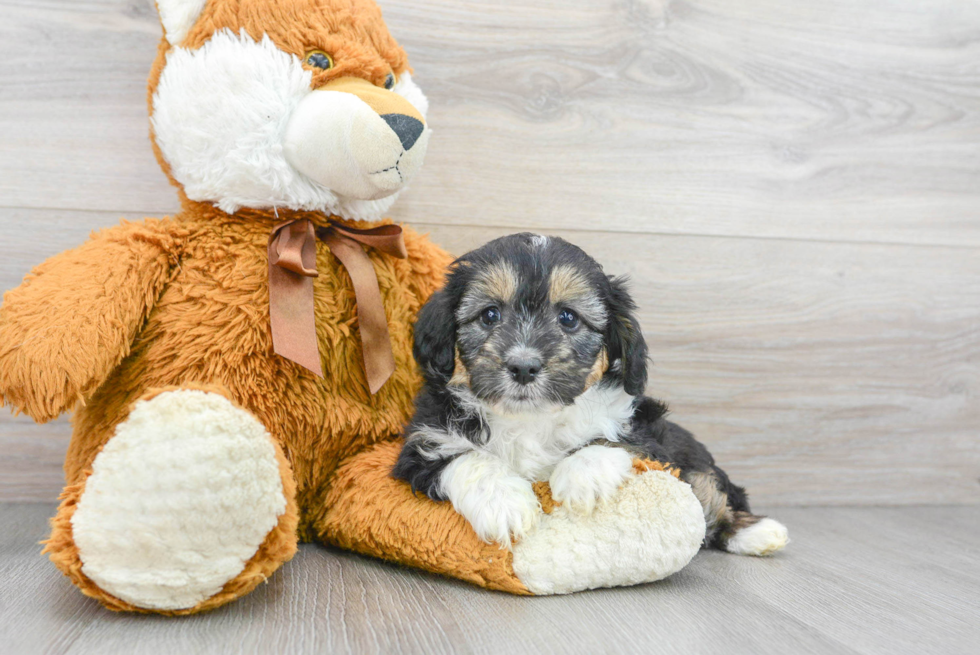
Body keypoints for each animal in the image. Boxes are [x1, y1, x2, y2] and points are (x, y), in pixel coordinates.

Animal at [392, 233, 788, 556]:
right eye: (489, 315)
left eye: (568, 318)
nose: (523, 366)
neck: (531, 419)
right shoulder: (423, 444)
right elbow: (467, 458)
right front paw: (504, 503)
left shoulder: (646, 432)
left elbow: (611, 440)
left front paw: (582, 475)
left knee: (715, 492)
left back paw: (758, 532)